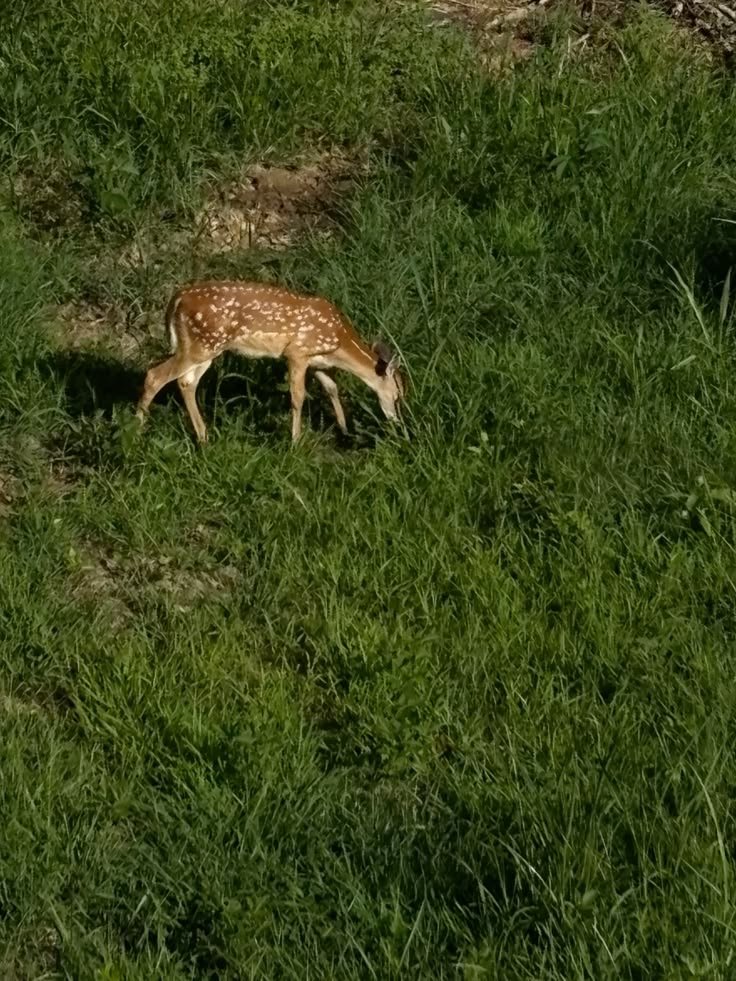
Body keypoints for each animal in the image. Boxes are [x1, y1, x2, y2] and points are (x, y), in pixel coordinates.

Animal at [135, 280, 405, 444]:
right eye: (398, 395)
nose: (398, 423)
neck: (339, 340)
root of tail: (176, 299)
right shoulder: (297, 352)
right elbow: (297, 396)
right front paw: (295, 441)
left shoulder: (317, 362)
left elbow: (332, 388)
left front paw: (344, 430)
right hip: (201, 345)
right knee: (155, 376)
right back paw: (136, 429)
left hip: (204, 348)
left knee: (185, 382)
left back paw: (203, 437)